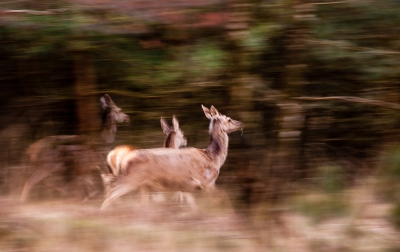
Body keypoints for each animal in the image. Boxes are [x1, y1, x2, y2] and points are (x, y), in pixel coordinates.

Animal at [100, 105, 244, 210]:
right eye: (229, 119)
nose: (241, 123)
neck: (213, 157)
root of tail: (123, 158)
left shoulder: (186, 187)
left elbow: (193, 206)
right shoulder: (207, 182)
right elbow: (223, 197)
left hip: (141, 183)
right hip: (131, 177)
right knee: (112, 193)